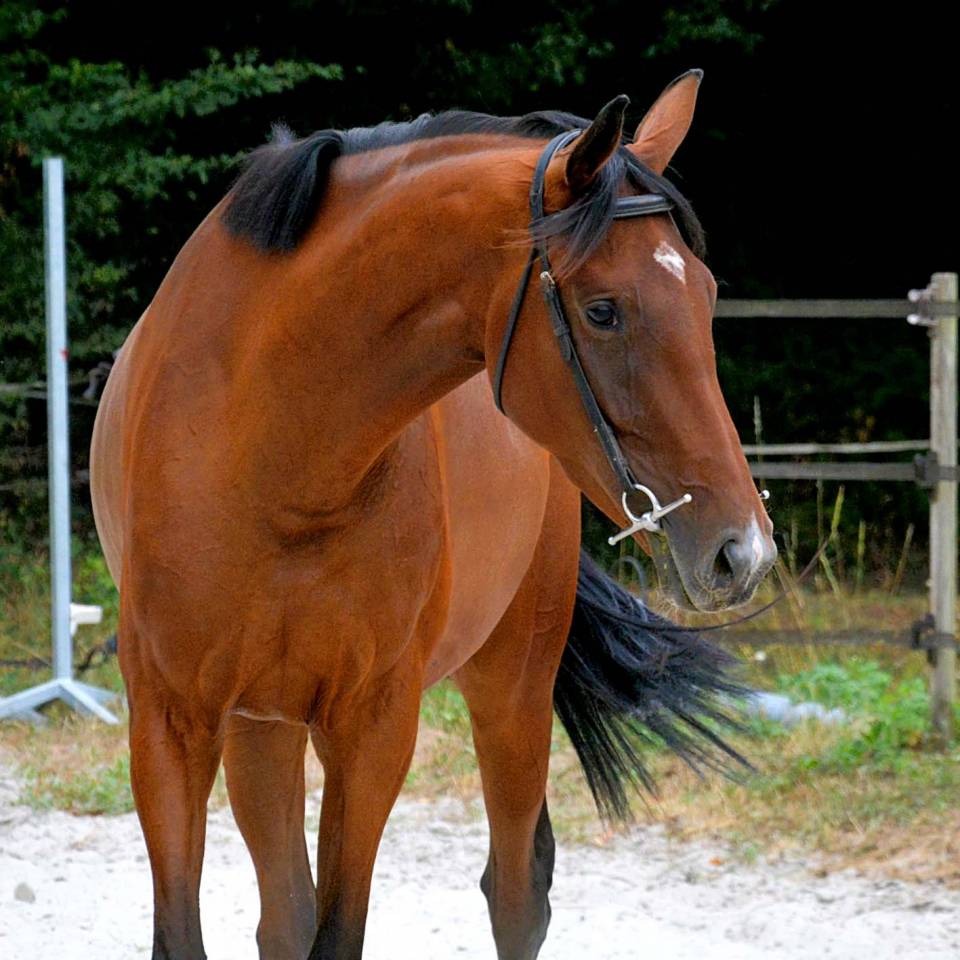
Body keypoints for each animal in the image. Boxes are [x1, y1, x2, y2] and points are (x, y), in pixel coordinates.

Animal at [89, 69, 776, 960]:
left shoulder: (372, 729)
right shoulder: (170, 727)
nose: (742, 552)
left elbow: (341, 929)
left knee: (516, 894)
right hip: (260, 725)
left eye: (706, 292)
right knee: (284, 911)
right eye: (603, 310)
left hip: (512, 686)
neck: (273, 451)